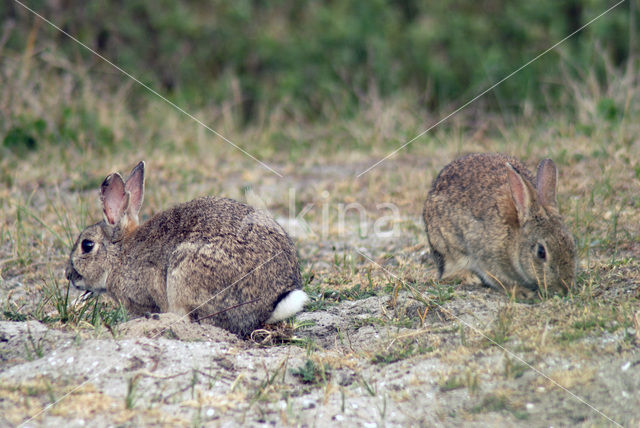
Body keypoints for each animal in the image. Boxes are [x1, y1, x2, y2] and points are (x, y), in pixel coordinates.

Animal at [422, 154, 576, 298]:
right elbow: (499, 280)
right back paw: (471, 277)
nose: (564, 289)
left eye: (572, 244)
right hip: (447, 249)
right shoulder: (488, 258)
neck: (513, 236)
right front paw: (522, 292)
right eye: (541, 252)